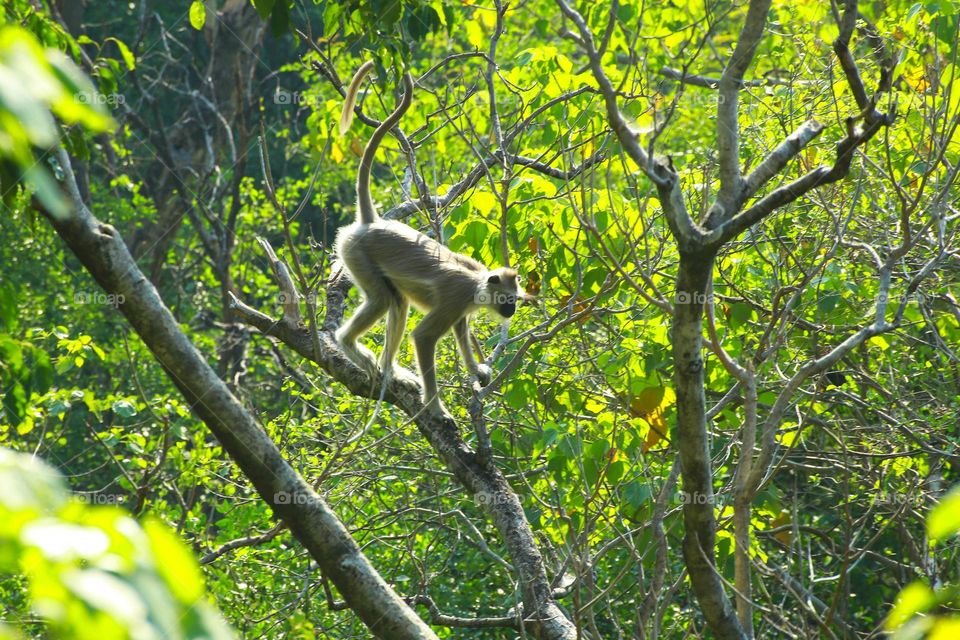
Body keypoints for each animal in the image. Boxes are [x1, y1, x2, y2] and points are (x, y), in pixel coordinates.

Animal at [334, 62, 532, 418]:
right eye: (507, 300)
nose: (510, 312)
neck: (477, 281)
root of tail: (371, 223)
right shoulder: (456, 297)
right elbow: (423, 337)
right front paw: (436, 406)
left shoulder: (464, 307)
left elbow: (462, 332)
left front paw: (476, 370)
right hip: (355, 252)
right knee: (383, 301)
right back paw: (348, 345)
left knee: (396, 303)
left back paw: (390, 369)